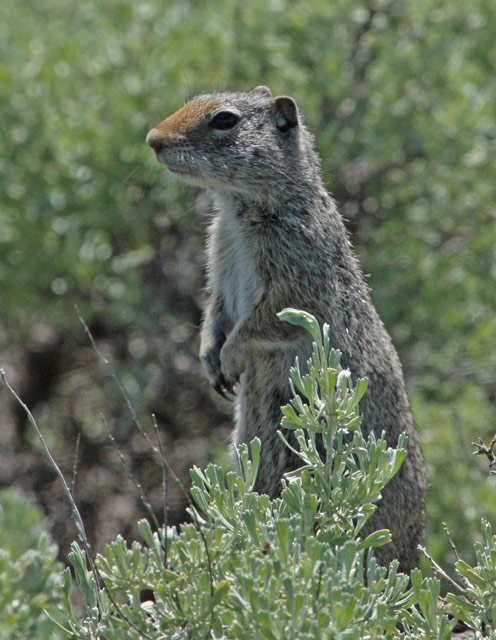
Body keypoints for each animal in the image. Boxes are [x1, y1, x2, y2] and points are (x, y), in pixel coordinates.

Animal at [146, 85, 427, 573]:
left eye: (224, 120)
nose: (153, 139)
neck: (237, 209)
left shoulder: (294, 282)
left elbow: (260, 322)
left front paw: (229, 358)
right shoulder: (218, 265)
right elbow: (214, 313)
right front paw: (209, 359)